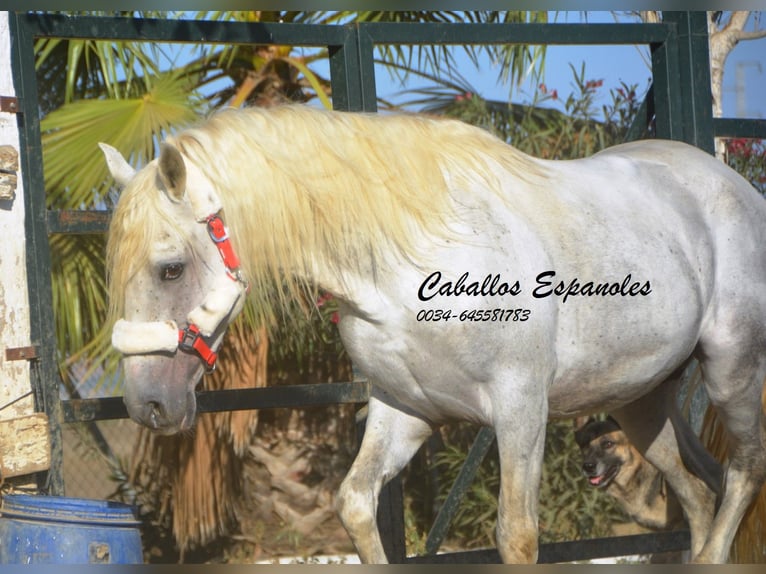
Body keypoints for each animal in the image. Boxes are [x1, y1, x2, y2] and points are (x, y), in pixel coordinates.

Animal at [103, 106, 766, 564]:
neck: (415, 262)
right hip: (640, 400)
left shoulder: (521, 409)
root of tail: (733, 184)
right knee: (698, 495)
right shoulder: (404, 411)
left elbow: (516, 534)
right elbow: (354, 503)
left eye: (170, 268)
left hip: (733, 370)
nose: (147, 404)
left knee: (743, 472)